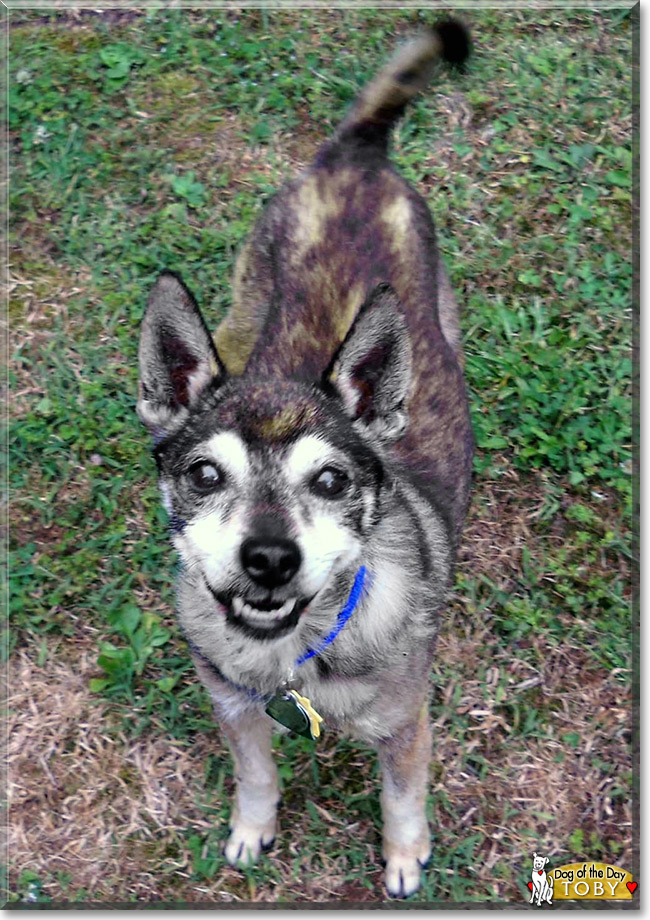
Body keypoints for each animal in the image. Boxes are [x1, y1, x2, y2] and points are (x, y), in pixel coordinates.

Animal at [137, 21, 470, 900]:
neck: (292, 656)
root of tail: (355, 152)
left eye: (330, 480)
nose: (268, 559)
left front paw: (404, 859)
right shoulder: (232, 707)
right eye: (204, 474)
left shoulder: (406, 723)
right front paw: (252, 830)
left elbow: (402, 795)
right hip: (243, 299)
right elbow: (255, 774)